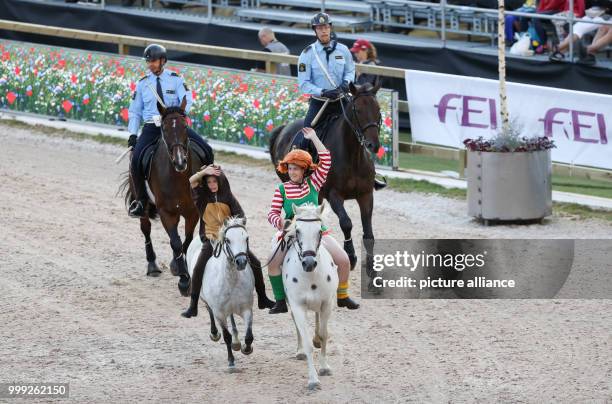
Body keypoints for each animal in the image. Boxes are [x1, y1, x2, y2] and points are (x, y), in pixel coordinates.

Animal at [122, 99, 208, 296]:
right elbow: (176, 242)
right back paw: (152, 265)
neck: (179, 178)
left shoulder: (192, 212)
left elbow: (186, 241)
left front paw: (179, 267)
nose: (180, 161)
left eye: (185, 126)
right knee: (146, 229)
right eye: (165, 129)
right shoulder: (166, 213)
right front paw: (183, 280)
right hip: (143, 204)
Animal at [186, 216, 253, 370]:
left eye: (246, 238)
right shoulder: (220, 313)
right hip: (206, 300)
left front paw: (246, 348)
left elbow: (249, 335)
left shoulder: (246, 309)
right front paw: (231, 361)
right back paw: (215, 334)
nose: (241, 262)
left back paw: (236, 342)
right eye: (228, 240)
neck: (231, 280)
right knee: (209, 310)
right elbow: (226, 336)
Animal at [268, 79, 380, 274]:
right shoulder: (334, 195)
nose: (373, 144)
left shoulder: (366, 195)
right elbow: (346, 223)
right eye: (358, 110)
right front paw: (351, 257)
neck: (352, 156)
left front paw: (372, 271)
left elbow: (368, 234)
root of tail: (283, 129)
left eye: (378, 108)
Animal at [284, 204, 340, 390]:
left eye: (319, 231)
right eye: (297, 231)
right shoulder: (298, 306)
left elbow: (324, 335)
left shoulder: (326, 303)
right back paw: (300, 351)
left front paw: (324, 367)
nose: (309, 263)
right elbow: (307, 342)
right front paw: (313, 380)